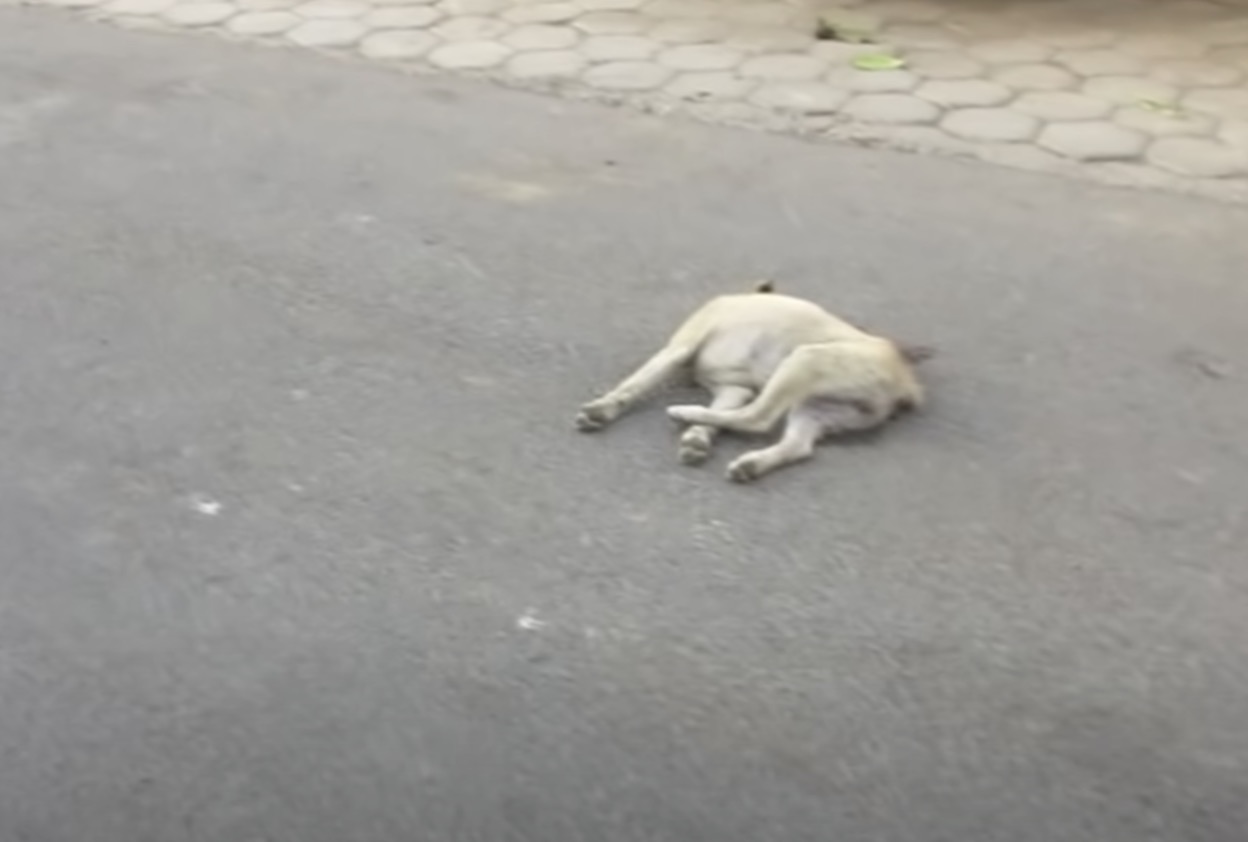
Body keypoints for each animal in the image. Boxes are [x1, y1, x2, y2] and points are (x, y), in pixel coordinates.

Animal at [575, 281, 933, 483]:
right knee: (797, 446)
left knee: (758, 418)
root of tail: (907, 382)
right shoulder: (734, 389)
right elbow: (720, 414)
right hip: (815, 407)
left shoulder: (678, 349)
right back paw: (751, 464)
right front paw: (700, 438)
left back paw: (684, 412)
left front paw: (601, 410)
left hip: (804, 360)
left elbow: (634, 384)